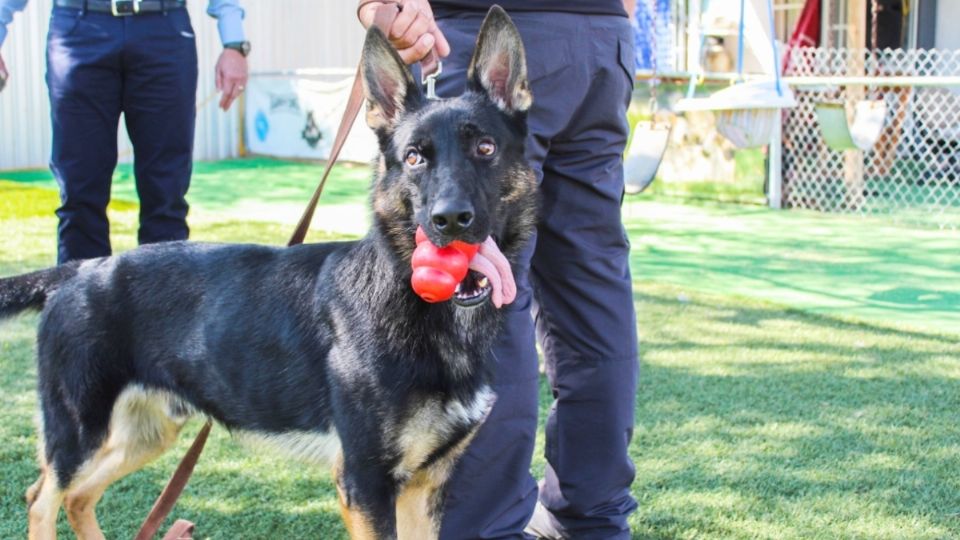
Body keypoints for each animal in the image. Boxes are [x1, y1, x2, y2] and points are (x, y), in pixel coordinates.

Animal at [0, 6, 536, 536]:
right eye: (414, 157)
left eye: (485, 148)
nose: (450, 221)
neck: (409, 296)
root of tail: (79, 271)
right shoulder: (365, 483)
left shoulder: (424, 485)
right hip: (80, 432)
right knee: (41, 498)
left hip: (144, 433)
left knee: (78, 498)